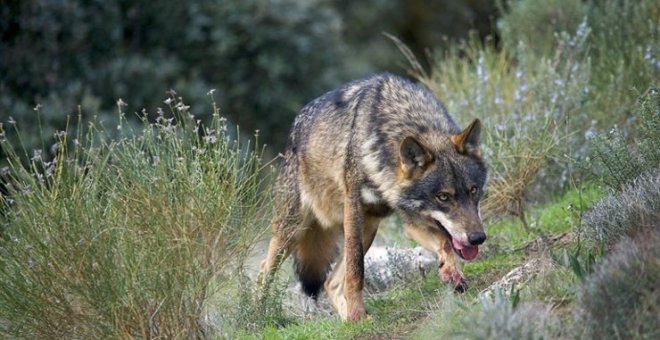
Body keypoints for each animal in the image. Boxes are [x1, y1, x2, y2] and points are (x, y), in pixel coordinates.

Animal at [255, 73, 488, 320]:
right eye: (443, 197)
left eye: (473, 190)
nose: (478, 238)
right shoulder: (353, 208)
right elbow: (356, 270)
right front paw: (357, 313)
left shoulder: (412, 221)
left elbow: (445, 243)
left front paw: (452, 272)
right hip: (294, 231)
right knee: (264, 270)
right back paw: (258, 316)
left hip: (368, 228)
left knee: (330, 283)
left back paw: (349, 320)